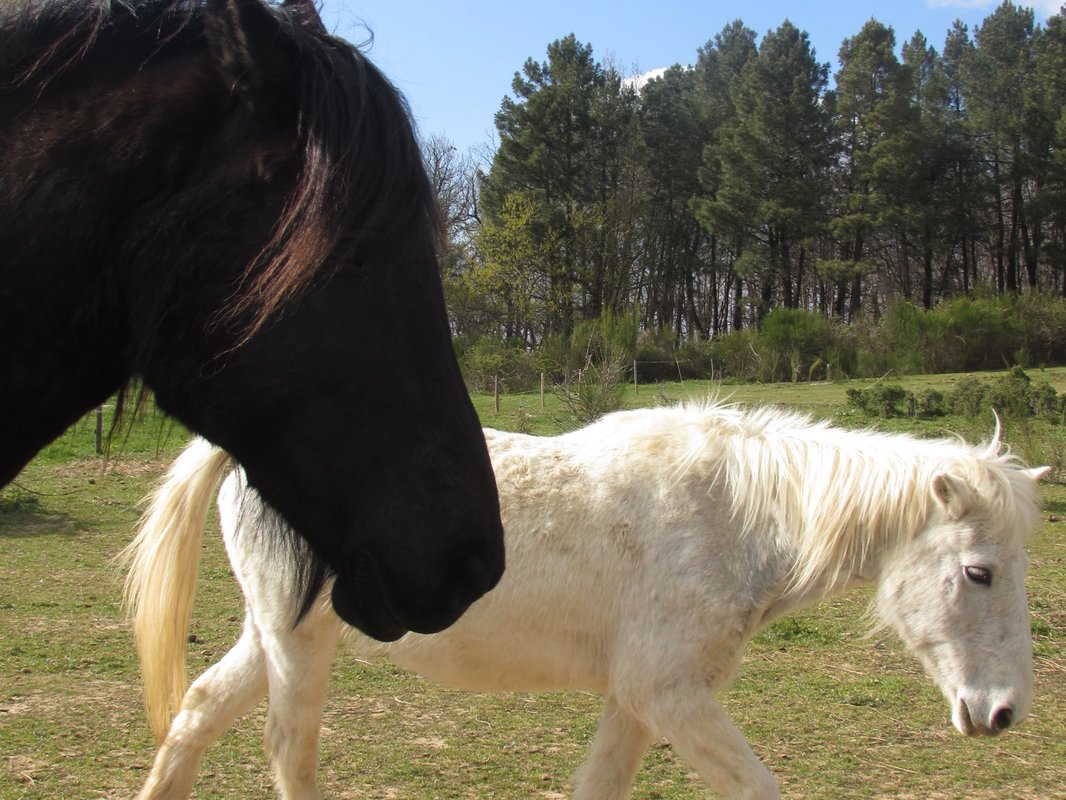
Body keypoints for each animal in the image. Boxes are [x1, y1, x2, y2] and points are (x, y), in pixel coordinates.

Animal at [124, 402, 1048, 799]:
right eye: (979, 573)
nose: (1002, 712)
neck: (733, 513)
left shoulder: (639, 702)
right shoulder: (666, 694)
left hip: (274, 635)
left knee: (196, 712)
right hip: (296, 646)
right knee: (290, 752)